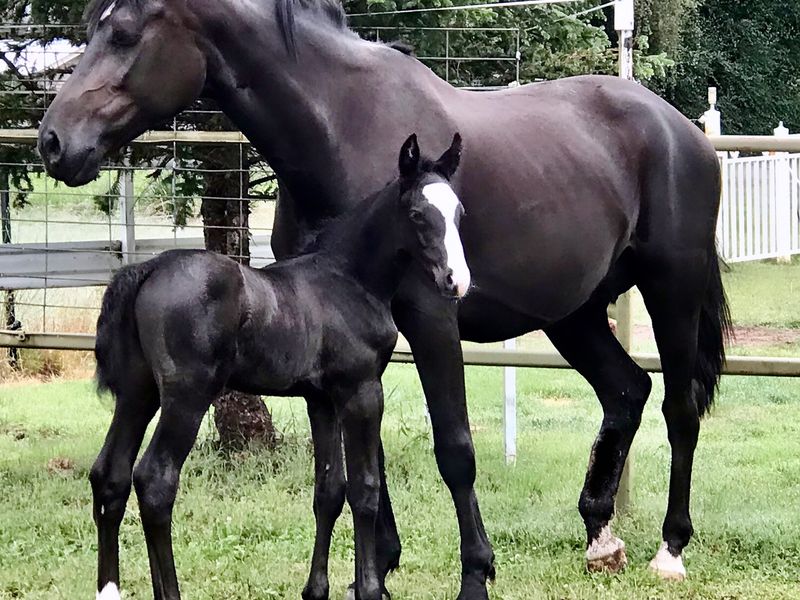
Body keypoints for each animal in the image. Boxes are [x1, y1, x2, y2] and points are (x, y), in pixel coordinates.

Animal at [89, 133, 467, 600]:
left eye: (459, 213)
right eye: (417, 214)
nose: (456, 280)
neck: (348, 280)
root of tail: (149, 268)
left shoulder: (321, 400)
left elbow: (329, 490)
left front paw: (316, 590)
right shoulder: (361, 391)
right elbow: (366, 490)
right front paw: (369, 588)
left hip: (138, 394)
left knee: (111, 475)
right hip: (186, 397)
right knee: (155, 481)